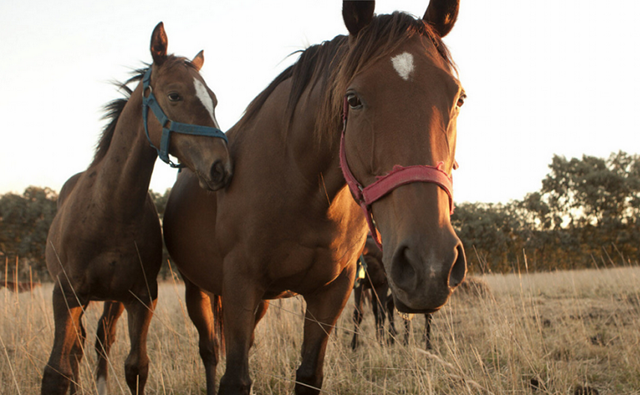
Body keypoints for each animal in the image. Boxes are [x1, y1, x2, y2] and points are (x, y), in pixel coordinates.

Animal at [40, 22, 230, 395]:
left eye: (213, 100)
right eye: (174, 95)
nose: (221, 167)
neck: (110, 209)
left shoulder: (141, 298)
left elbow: (136, 367)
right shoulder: (65, 296)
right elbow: (56, 372)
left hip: (112, 300)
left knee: (101, 339)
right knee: (77, 349)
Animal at [164, 1, 464, 394]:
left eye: (458, 98)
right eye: (353, 99)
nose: (429, 265)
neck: (301, 189)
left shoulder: (331, 292)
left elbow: (308, 374)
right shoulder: (240, 285)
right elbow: (235, 378)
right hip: (197, 290)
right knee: (210, 352)